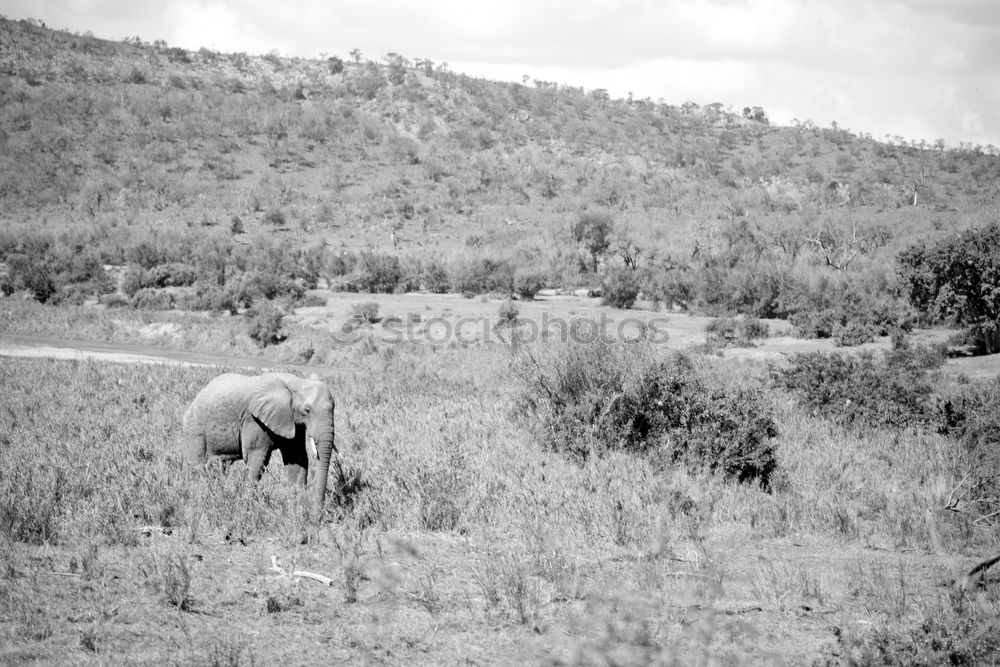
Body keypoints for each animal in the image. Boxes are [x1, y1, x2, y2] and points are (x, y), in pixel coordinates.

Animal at [184, 370, 344, 512]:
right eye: (307, 410)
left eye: (334, 407)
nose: (319, 514)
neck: (297, 382)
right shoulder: (254, 420)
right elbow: (256, 458)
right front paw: (249, 506)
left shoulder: (292, 421)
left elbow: (296, 459)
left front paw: (298, 507)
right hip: (196, 428)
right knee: (197, 466)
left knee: (218, 466)